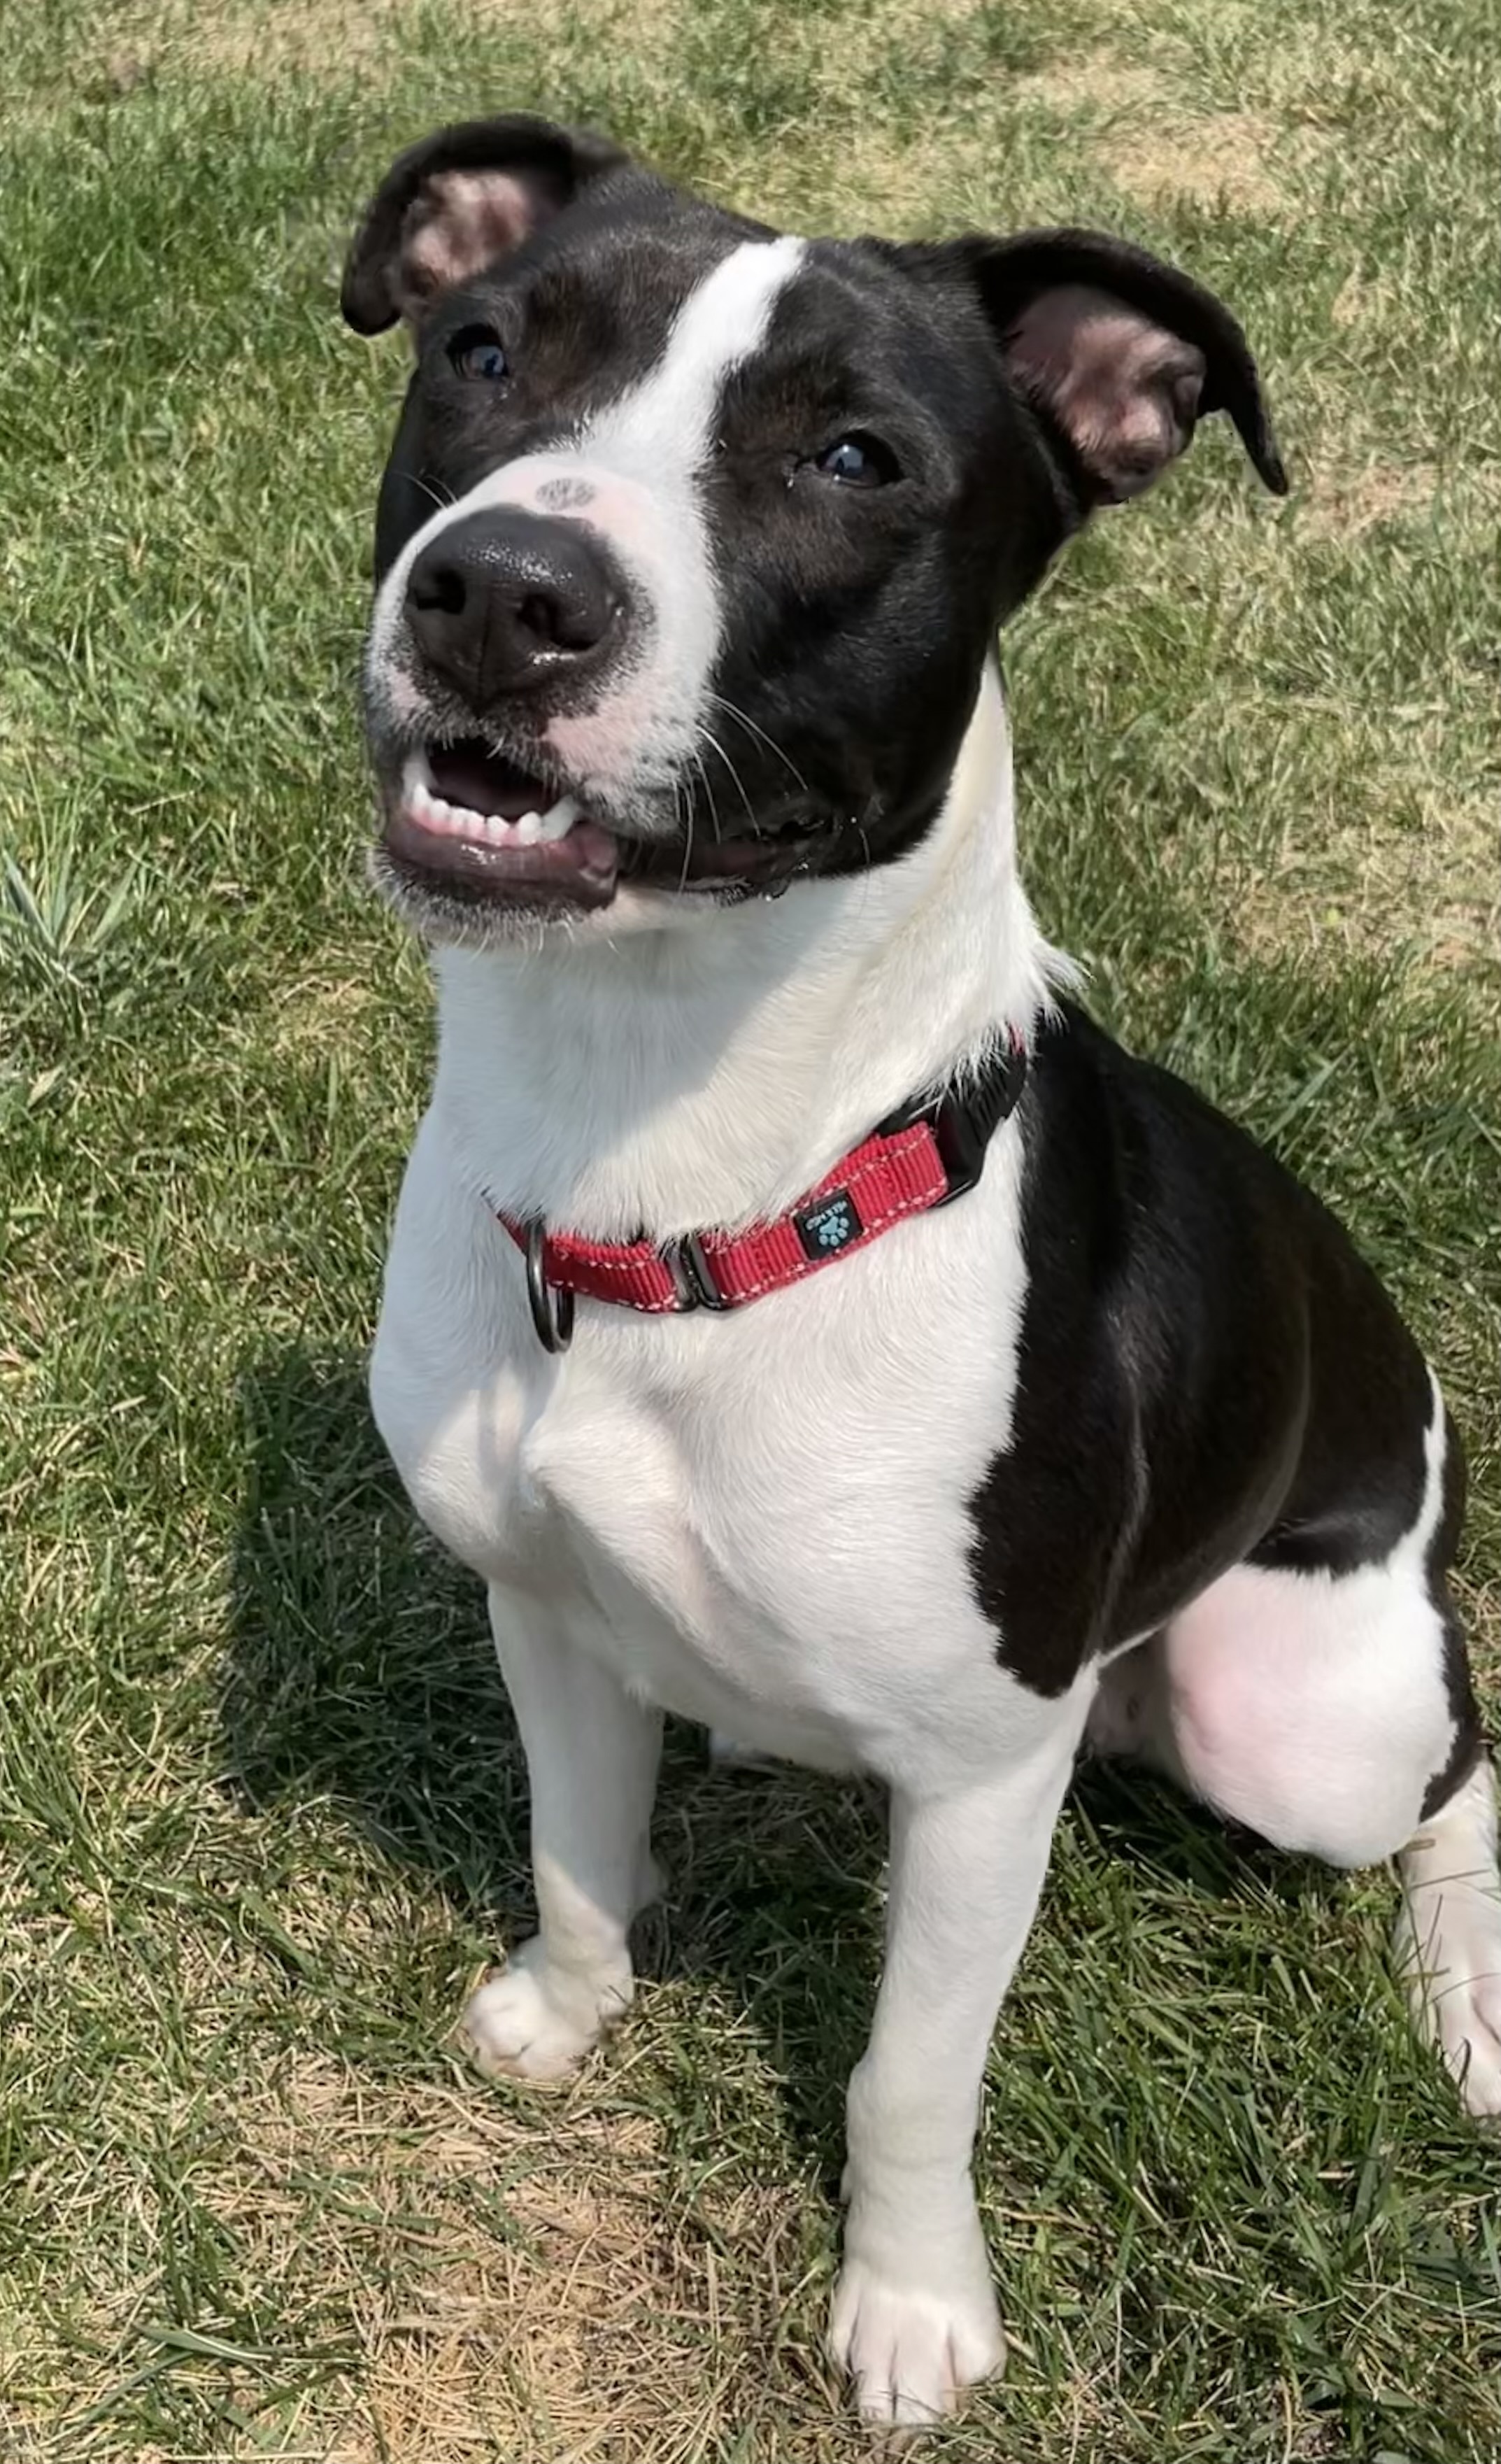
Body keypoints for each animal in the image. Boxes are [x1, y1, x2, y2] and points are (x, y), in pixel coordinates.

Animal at [342, 111, 1498, 2424]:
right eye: (485, 351)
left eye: (857, 456)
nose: (503, 594)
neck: (665, 1161)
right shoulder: (545, 1608)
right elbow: (573, 1858)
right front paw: (557, 2014)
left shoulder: (976, 1784)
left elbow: (904, 2076)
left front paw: (908, 2305)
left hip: (1294, 1717)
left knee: (1459, 1771)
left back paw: (1467, 1986)